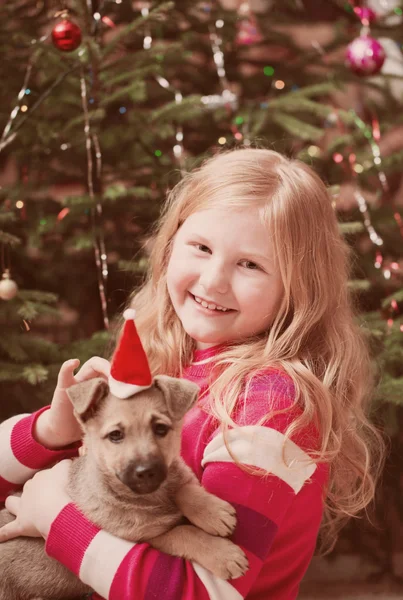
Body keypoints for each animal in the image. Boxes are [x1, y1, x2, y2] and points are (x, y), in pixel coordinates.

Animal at [0, 378, 249, 596]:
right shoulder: (147, 538)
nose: (146, 471)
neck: (151, 498)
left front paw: (211, 512)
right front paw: (223, 555)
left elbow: (182, 488)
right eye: (115, 435)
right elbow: (185, 533)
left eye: (160, 429)